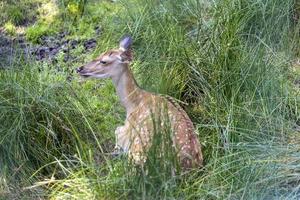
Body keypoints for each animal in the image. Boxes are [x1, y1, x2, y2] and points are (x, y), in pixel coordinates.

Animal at [77, 36, 204, 169]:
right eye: (100, 53)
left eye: (104, 61)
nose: (79, 68)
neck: (132, 103)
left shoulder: (126, 131)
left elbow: (117, 130)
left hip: (138, 149)